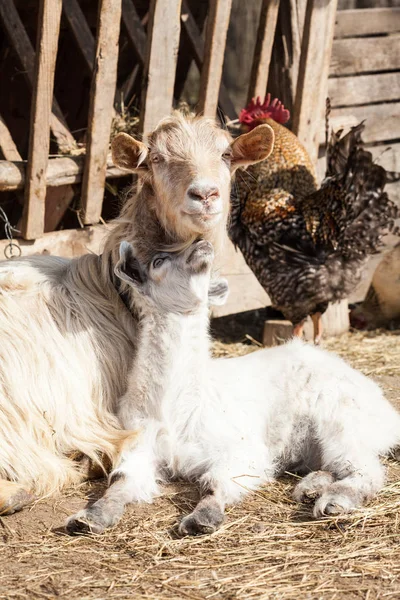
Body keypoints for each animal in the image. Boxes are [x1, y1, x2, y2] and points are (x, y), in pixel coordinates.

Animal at [67, 241, 400, 536]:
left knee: (365, 468)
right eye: (158, 261)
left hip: (343, 416)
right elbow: (121, 482)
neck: (176, 405)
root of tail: (387, 413)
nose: (202, 245)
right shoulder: (139, 446)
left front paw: (202, 519)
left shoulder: (239, 447)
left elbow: (217, 482)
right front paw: (90, 518)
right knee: (336, 463)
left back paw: (334, 501)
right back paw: (311, 488)